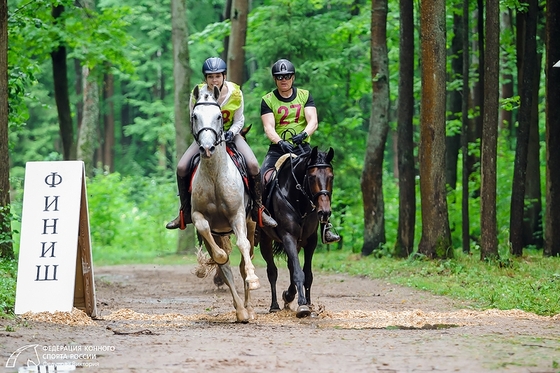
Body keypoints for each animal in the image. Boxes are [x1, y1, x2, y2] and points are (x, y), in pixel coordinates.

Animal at [260, 145, 334, 316]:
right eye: (312, 177)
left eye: (331, 177)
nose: (324, 212)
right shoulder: (288, 237)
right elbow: (298, 273)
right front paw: (302, 305)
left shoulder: (310, 241)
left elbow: (307, 274)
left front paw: (309, 304)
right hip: (265, 240)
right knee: (272, 271)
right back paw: (275, 305)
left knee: (290, 266)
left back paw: (289, 295)